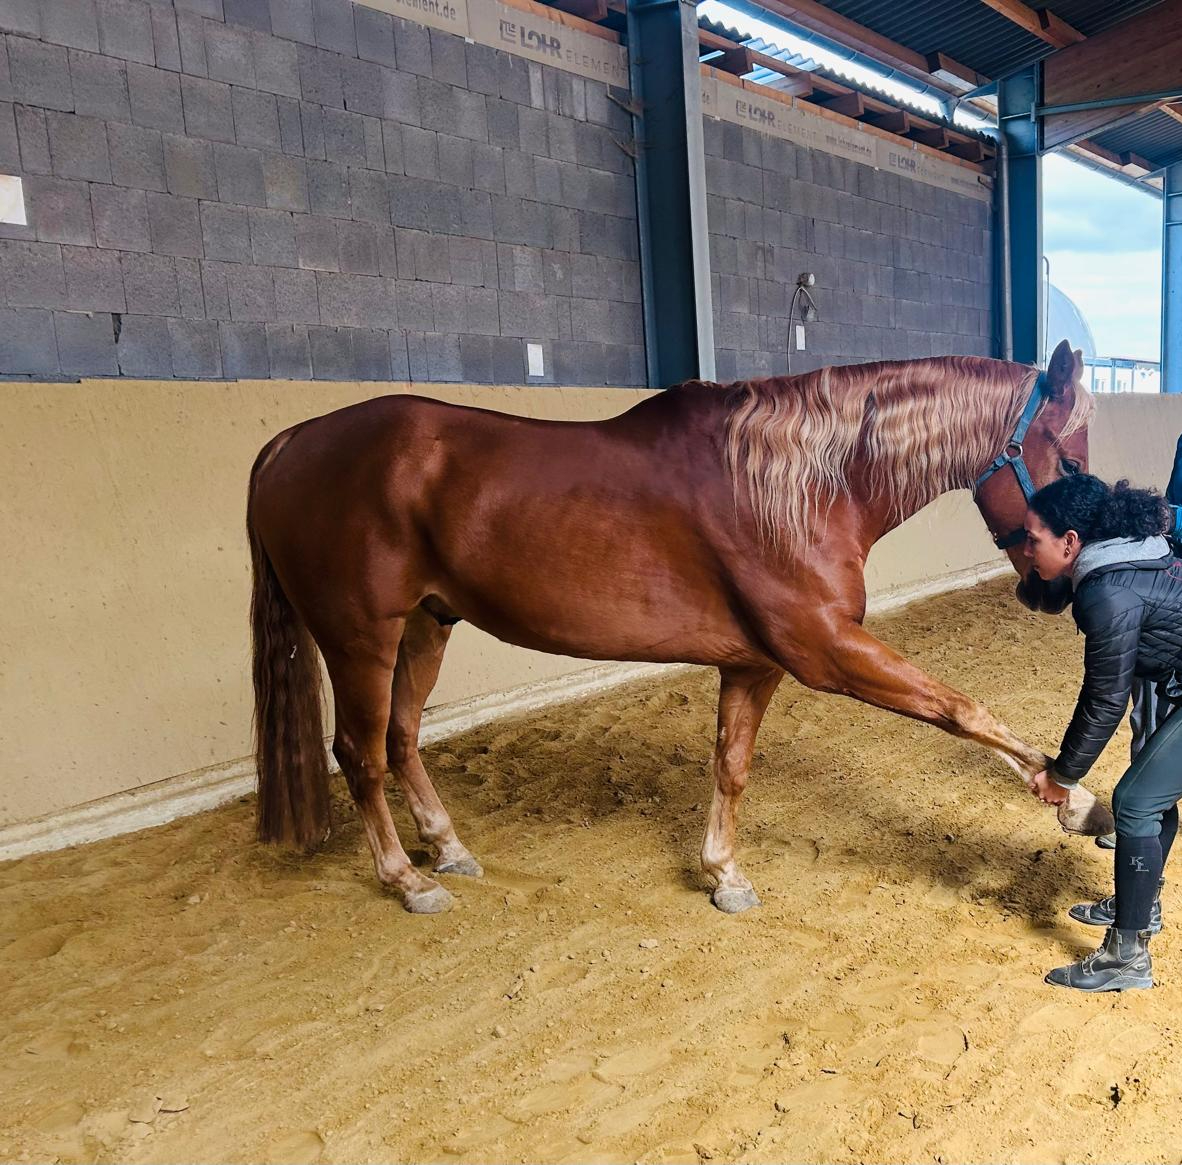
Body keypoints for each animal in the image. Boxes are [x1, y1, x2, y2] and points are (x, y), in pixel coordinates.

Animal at [246, 338, 1112, 914]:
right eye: (1068, 464)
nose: (1054, 587)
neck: (798, 483)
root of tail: (290, 443)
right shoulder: (825, 649)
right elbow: (960, 708)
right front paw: (1072, 797)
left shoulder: (754, 664)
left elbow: (730, 765)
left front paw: (723, 874)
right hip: (359, 637)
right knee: (359, 753)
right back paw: (408, 878)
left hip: (427, 625)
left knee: (400, 738)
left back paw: (450, 847)